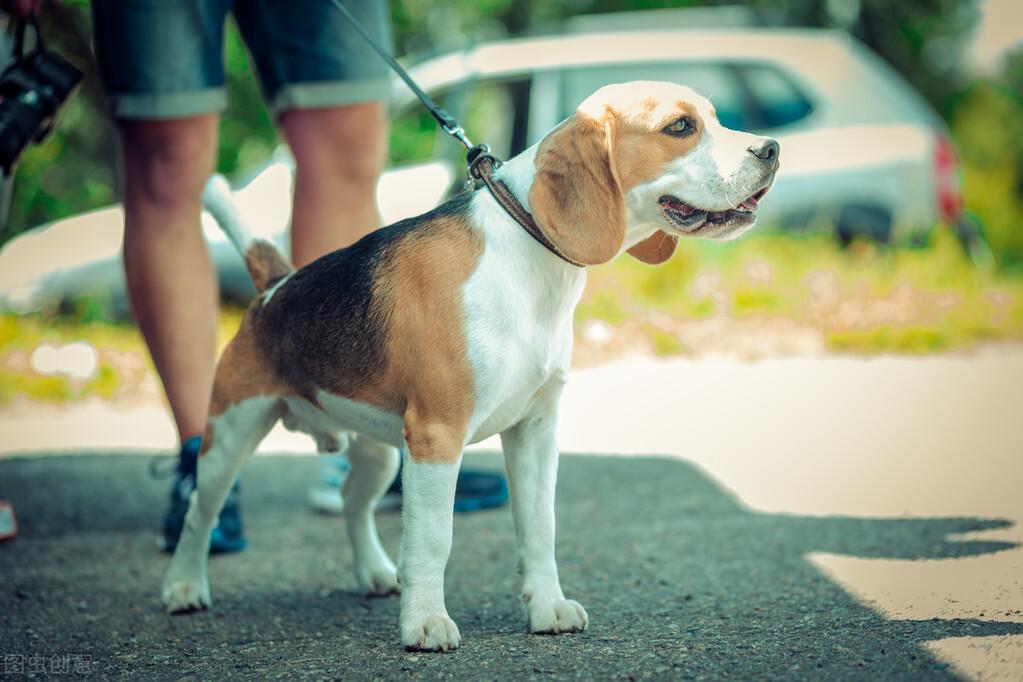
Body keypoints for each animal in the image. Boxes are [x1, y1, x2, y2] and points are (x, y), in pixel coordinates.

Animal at [163, 80, 777, 650]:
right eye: (680, 127)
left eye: (714, 117)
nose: (771, 148)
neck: (528, 256)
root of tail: (276, 287)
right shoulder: (437, 435)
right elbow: (434, 540)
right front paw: (425, 623)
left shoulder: (535, 432)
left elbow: (540, 529)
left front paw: (546, 608)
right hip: (231, 436)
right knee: (199, 512)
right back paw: (184, 586)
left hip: (381, 454)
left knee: (353, 504)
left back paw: (375, 572)